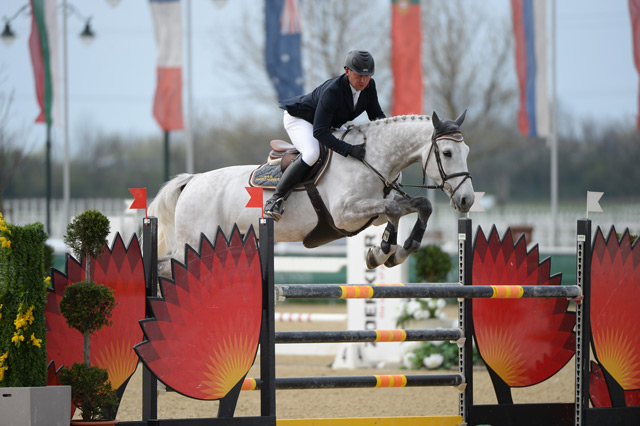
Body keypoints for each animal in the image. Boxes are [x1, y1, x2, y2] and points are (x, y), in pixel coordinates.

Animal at [148, 111, 472, 274]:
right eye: (446, 153)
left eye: (466, 151)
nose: (467, 199)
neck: (370, 157)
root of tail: (192, 181)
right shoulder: (345, 214)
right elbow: (396, 209)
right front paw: (382, 252)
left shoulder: (375, 210)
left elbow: (416, 206)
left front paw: (390, 253)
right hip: (193, 244)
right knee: (168, 268)